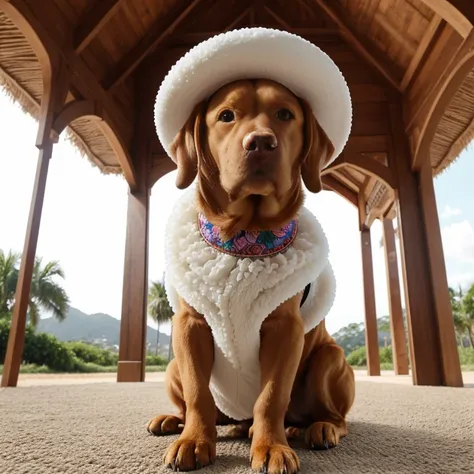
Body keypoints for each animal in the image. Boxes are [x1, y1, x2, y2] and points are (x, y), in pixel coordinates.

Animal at [148, 79, 356, 472]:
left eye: (285, 114)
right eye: (226, 116)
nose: (260, 142)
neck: (245, 240)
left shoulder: (284, 328)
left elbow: (271, 397)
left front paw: (271, 446)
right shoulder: (189, 324)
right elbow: (198, 393)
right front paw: (194, 440)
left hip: (329, 359)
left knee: (335, 417)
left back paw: (314, 428)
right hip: (171, 367)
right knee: (201, 406)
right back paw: (175, 420)